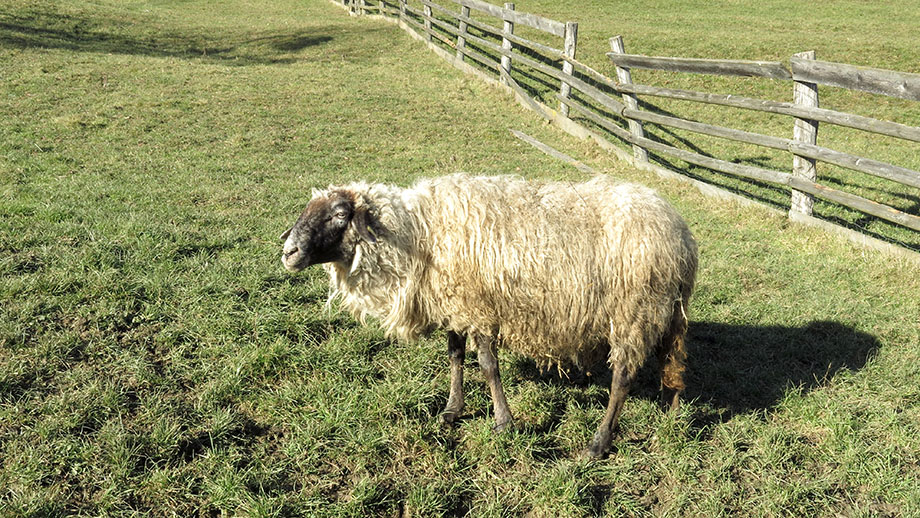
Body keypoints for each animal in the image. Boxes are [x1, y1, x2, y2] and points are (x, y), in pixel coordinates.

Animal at [280, 175, 696, 460]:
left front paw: (502, 422)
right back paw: (671, 419)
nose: (288, 252)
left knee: (623, 377)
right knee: (672, 361)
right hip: (666, 312)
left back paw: (599, 442)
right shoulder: (456, 305)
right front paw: (452, 410)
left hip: (633, 312)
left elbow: (487, 366)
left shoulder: (479, 308)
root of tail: (680, 233)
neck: (420, 234)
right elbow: (455, 356)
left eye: (339, 214)